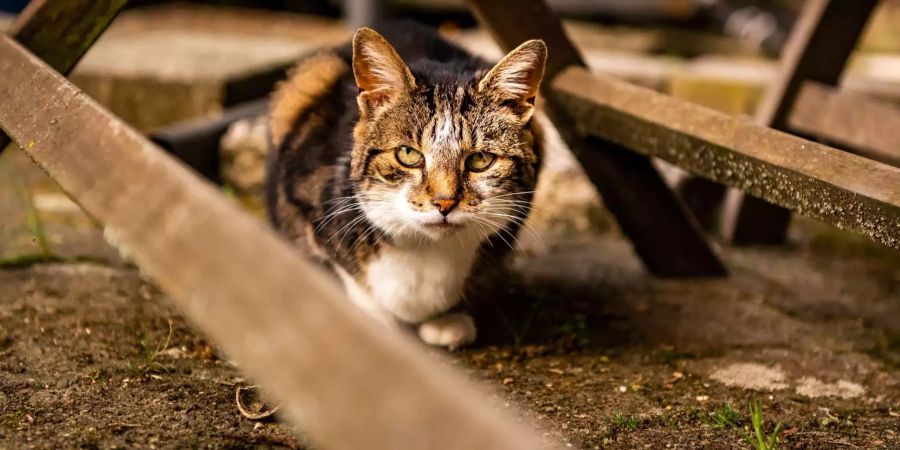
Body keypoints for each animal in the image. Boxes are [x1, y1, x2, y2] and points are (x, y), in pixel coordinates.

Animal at [268, 22, 544, 350]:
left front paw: (447, 319)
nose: (444, 202)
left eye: (480, 159)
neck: (427, 248)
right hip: (309, 77)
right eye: (408, 154)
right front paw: (373, 321)